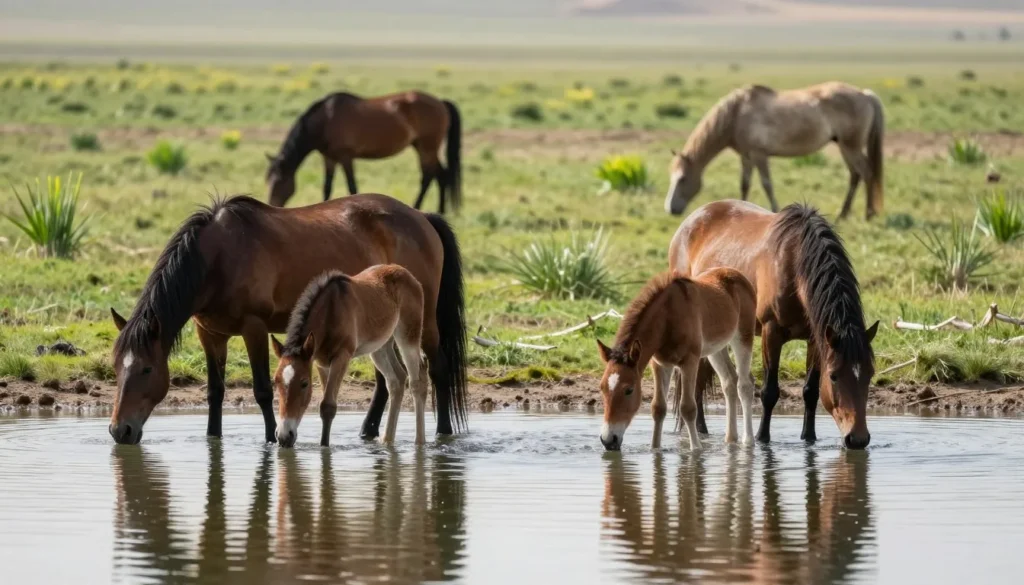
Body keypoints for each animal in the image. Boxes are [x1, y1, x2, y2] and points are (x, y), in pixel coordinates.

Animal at [266, 91, 462, 214]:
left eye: (278, 181)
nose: (272, 204)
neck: (326, 120)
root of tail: (441, 102)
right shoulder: (329, 158)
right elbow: (327, 187)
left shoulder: (346, 157)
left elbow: (352, 186)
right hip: (422, 147)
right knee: (441, 175)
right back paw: (440, 210)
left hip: (427, 147)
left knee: (429, 176)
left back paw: (419, 207)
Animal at [271, 265, 428, 447]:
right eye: (275, 381)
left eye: (304, 383)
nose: (284, 436)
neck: (331, 311)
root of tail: (406, 274)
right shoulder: (321, 363)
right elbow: (325, 403)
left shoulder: (342, 357)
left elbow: (328, 406)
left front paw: (325, 448)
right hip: (380, 347)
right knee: (396, 381)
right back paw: (387, 440)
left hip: (408, 337)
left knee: (416, 382)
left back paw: (419, 442)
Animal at [596, 268, 757, 452]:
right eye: (602, 388)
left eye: (629, 390)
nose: (608, 440)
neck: (668, 316)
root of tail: (736, 274)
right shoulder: (660, 364)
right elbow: (658, 408)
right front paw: (655, 449)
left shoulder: (690, 362)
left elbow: (688, 408)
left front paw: (696, 449)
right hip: (716, 349)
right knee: (729, 381)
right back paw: (730, 439)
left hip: (743, 337)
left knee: (744, 385)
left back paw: (748, 440)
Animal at [663, 82, 884, 220]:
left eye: (682, 179)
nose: (670, 209)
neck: (736, 114)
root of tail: (865, 95)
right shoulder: (746, 157)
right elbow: (745, 184)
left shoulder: (759, 155)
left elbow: (766, 184)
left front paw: (775, 210)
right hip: (844, 146)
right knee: (855, 175)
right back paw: (843, 214)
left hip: (851, 146)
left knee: (866, 172)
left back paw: (868, 214)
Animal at [670, 200, 878, 449]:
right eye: (834, 376)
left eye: (869, 374)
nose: (858, 439)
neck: (794, 262)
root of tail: (691, 220)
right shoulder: (772, 332)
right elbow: (769, 392)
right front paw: (762, 438)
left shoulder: (816, 339)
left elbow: (811, 392)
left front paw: (809, 438)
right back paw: (701, 430)